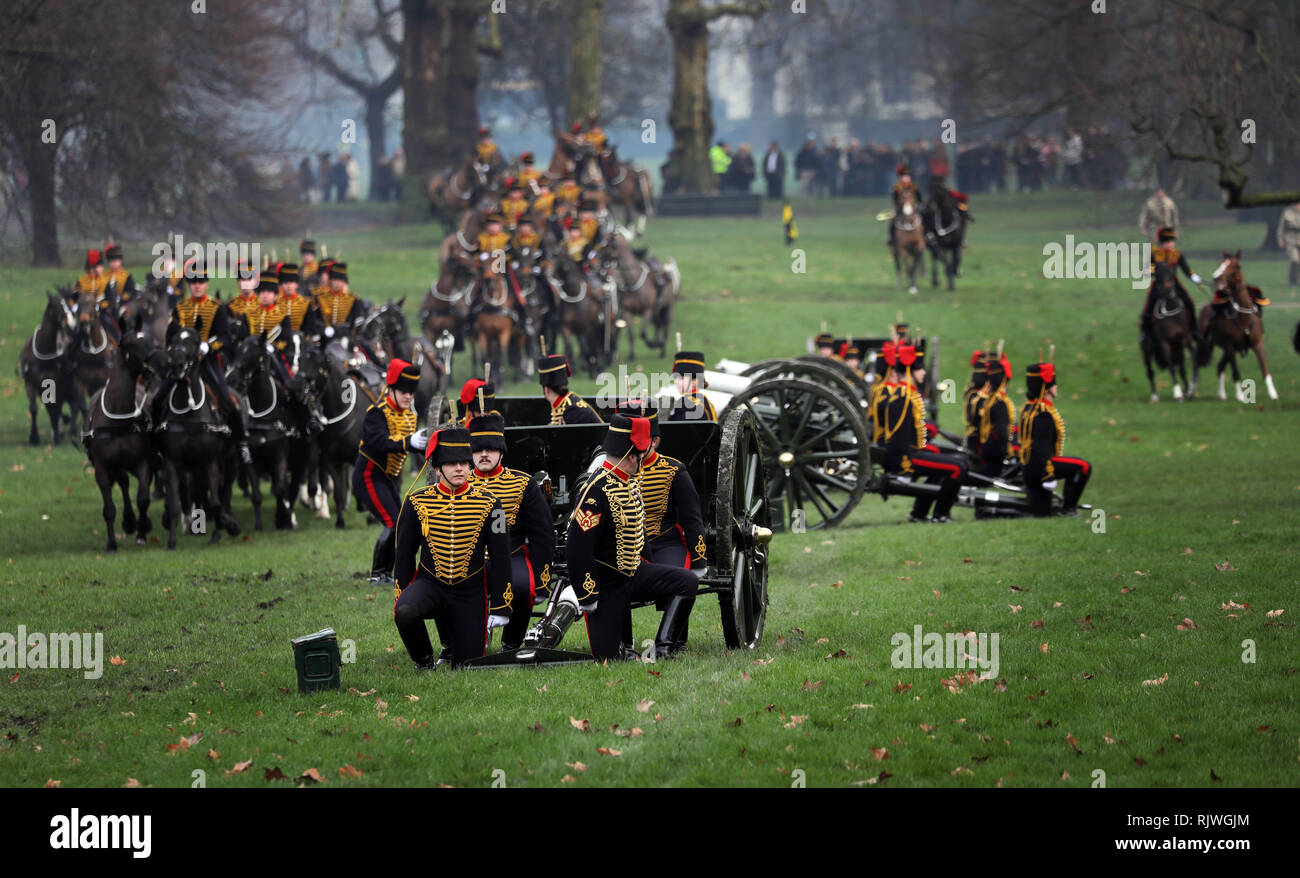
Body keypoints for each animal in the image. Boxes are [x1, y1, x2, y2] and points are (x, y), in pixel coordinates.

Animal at [84, 327, 156, 548]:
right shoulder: (101, 468)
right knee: (123, 482)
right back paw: (129, 520)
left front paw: (142, 531)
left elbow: (143, 498)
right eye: (132, 344)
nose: (156, 366)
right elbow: (109, 509)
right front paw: (111, 544)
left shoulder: (143, 462)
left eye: (149, 341)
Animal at [156, 331, 241, 548]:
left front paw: (224, 529)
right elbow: (174, 503)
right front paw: (172, 541)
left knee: (226, 494)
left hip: (231, 460)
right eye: (173, 342)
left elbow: (217, 502)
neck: (189, 414)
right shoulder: (172, 463)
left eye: (194, 343)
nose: (176, 365)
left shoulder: (211, 462)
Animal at [1144, 257, 1201, 400]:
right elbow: (1171, 367)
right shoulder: (1164, 343)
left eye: (1171, 273)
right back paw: (1154, 396)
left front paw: (1192, 387)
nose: (1168, 291)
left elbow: (1194, 360)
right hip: (1147, 351)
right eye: (1158, 273)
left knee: (1182, 369)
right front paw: (1177, 392)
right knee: (1150, 372)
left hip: (1178, 349)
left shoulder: (1185, 339)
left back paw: (1188, 391)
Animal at [1196, 252, 1279, 403]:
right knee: (1197, 364)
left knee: (1220, 366)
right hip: (1207, 344)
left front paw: (1273, 394)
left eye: (1234, 266)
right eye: (1220, 263)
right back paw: (1190, 391)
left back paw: (1221, 394)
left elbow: (1264, 369)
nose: (1216, 277)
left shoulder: (1257, 344)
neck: (1243, 317)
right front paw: (1240, 395)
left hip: (1224, 349)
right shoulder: (1231, 347)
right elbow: (1235, 372)